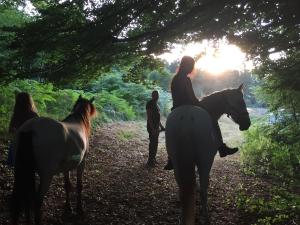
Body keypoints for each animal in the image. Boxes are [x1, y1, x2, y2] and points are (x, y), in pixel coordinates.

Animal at [11, 95, 95, 225]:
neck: (78, 122)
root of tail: (30, 129)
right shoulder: (82, 163)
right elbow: (79, 186)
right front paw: (79, 209)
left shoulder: (66, 167)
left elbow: (67, 186)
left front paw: (68, 208)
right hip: (46, 176)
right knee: (37, 201)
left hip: (23, 172)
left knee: (25, 199)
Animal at [166, 85, 251, 225]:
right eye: (240, 102)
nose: (247, 123)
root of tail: (187, 117)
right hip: (205, 161)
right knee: (203, 189)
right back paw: (206, 217)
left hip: (177, 162)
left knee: (182, 187)